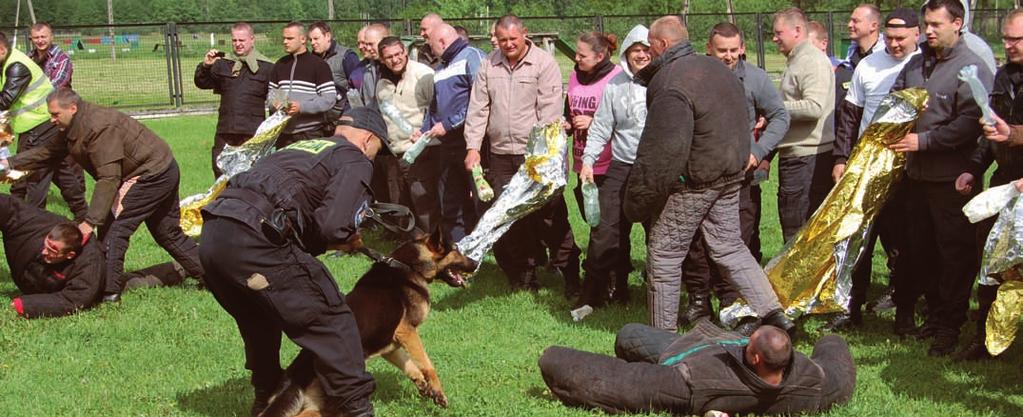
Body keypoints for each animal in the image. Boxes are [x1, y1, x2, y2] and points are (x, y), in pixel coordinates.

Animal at [257, 229, 476, 417]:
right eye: (455, 249)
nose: (475, 263)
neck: (409, 266)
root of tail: (296, 378)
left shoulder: (391, 345)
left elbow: (409, 365)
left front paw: (423, 385)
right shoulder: (407, 331)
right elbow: (427, 365)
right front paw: (438, 391)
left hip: (321, 406)